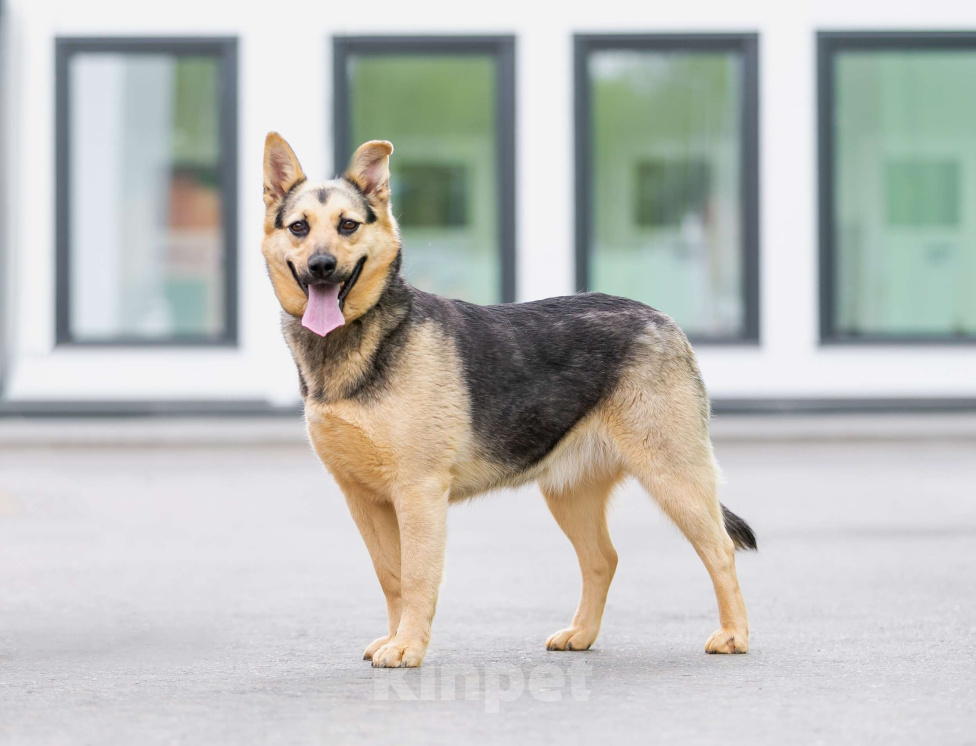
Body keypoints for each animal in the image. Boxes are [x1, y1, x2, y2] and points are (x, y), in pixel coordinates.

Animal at [260, 132, 756, 668]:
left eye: (347, 225)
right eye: (299, 227)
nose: (322, 267)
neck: (364, 337)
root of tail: (662, 318)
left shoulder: (418, 493)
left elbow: (415, 577)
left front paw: (408, 645)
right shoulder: (364, 500)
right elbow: (391, 576)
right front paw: (395, 639)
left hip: (673, 475)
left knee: (719, 549)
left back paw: (734, 634)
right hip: (569, 492)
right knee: (602, 559)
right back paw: (581, 633)